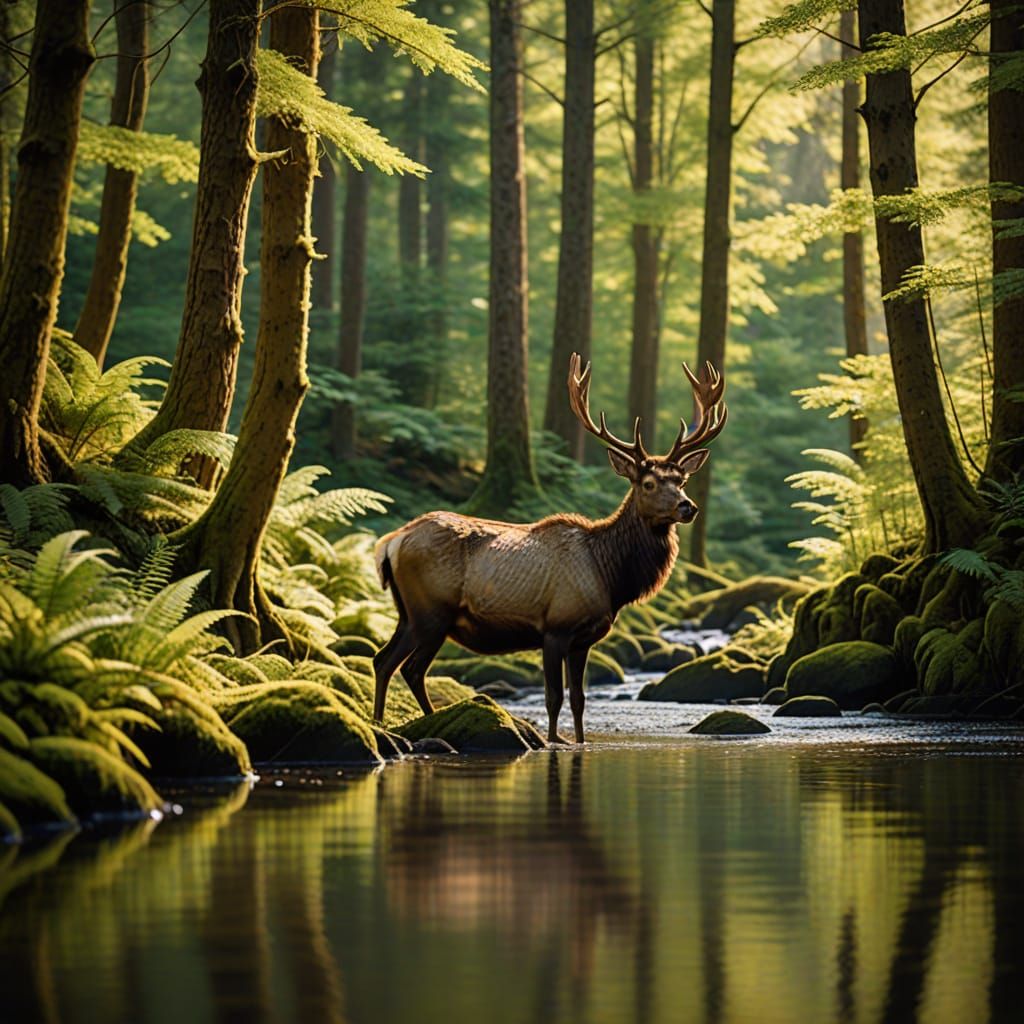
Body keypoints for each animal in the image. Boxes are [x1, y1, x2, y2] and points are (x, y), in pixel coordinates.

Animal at [372, 354, 727, 745]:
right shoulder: (556, 626)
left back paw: (381, 724)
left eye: (681, 479)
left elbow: (579, 699)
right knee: (411, 668)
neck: (610, 576)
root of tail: (391, 543)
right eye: (648, 483)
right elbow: (554, 696)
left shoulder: (584, 640)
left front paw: (580, 740)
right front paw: (554, 740)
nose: (687, 507)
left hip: (408, 612)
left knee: (383, 660)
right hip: (432, 611)